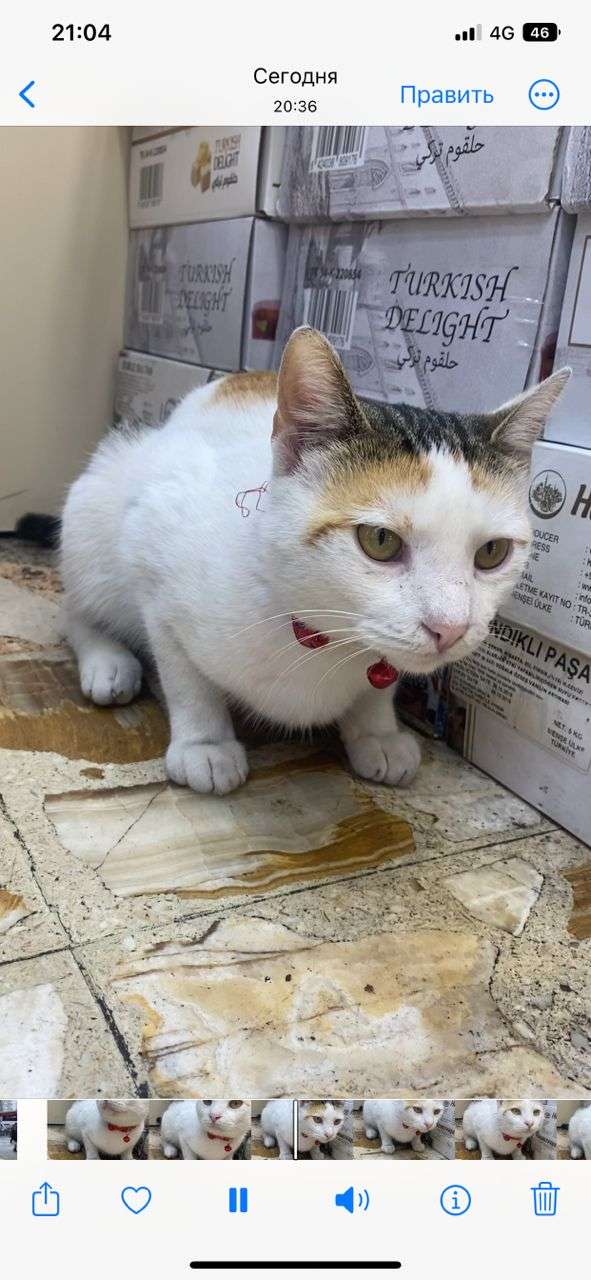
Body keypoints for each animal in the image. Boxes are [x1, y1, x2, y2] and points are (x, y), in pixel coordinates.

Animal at [60, 325, 569, 796]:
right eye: (380, 540)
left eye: (492, 552)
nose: (450, 628)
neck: (321, 637)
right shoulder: (154, 552)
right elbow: (185, 675)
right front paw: (204, 745)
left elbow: (379, 684)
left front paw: (377, 732)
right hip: (92, 512)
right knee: (74, 611)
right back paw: (108, 662)